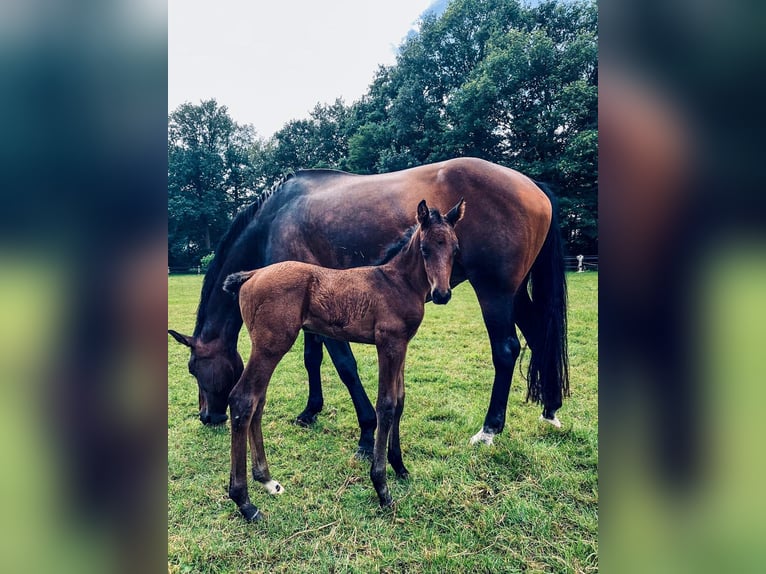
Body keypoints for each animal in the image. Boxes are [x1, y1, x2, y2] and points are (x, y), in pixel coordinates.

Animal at [170, 156, 568, 454]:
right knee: (538, 337)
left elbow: (345, 366)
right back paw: (550, 409)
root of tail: (532, 185)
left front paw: (366, 431)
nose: (207, 416)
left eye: (192, 368)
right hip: (514, 294)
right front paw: (310, 411)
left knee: (507, 349)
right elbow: (312, 358)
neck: (273, 221)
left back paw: (490, 429)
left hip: (495, 292)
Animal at [219, 199, 464, 520]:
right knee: (243, 400)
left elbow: (400, 401)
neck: (397, 282)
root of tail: (252, 274)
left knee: (257, 401)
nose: (442, 294)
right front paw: (381, 487)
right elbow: (386, 405)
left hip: (267, 346)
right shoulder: (388, 344)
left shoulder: (402, 345)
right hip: (271, 344)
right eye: (425, 249)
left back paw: (267, 480)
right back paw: (245, 502)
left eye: (455, 249)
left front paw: (400, 467)